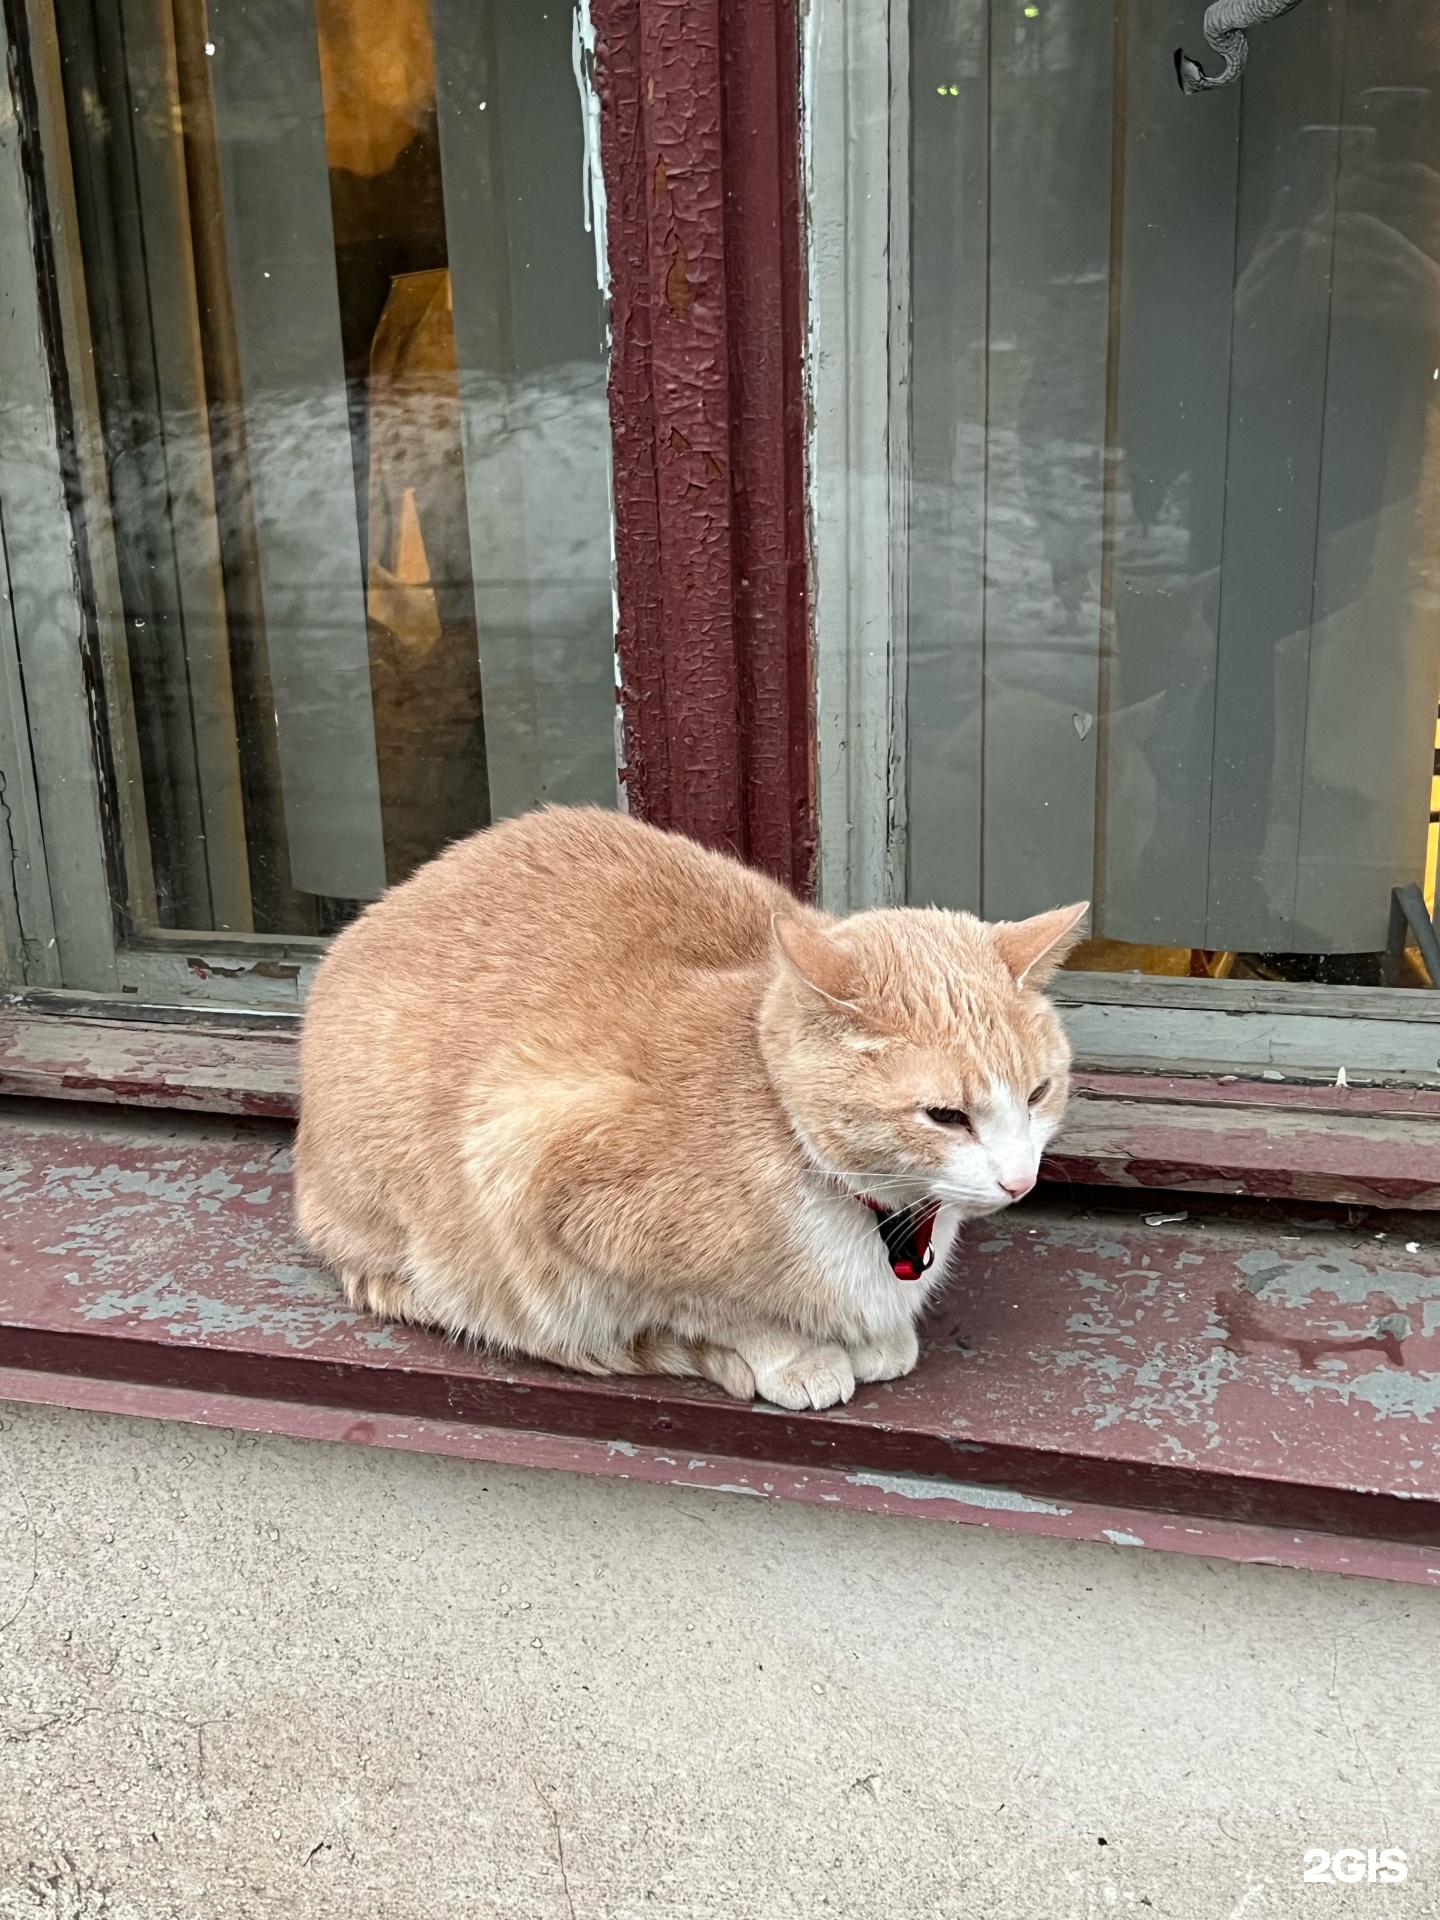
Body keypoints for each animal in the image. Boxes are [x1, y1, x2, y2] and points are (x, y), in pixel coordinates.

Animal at [295, 810, 1082, 1413]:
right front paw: (796, 1355)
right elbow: (721, 1311)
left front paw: (874, 1338)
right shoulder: (532, 1160)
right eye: (946, 1116)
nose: (1020, 1182)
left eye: (1038, 1094)